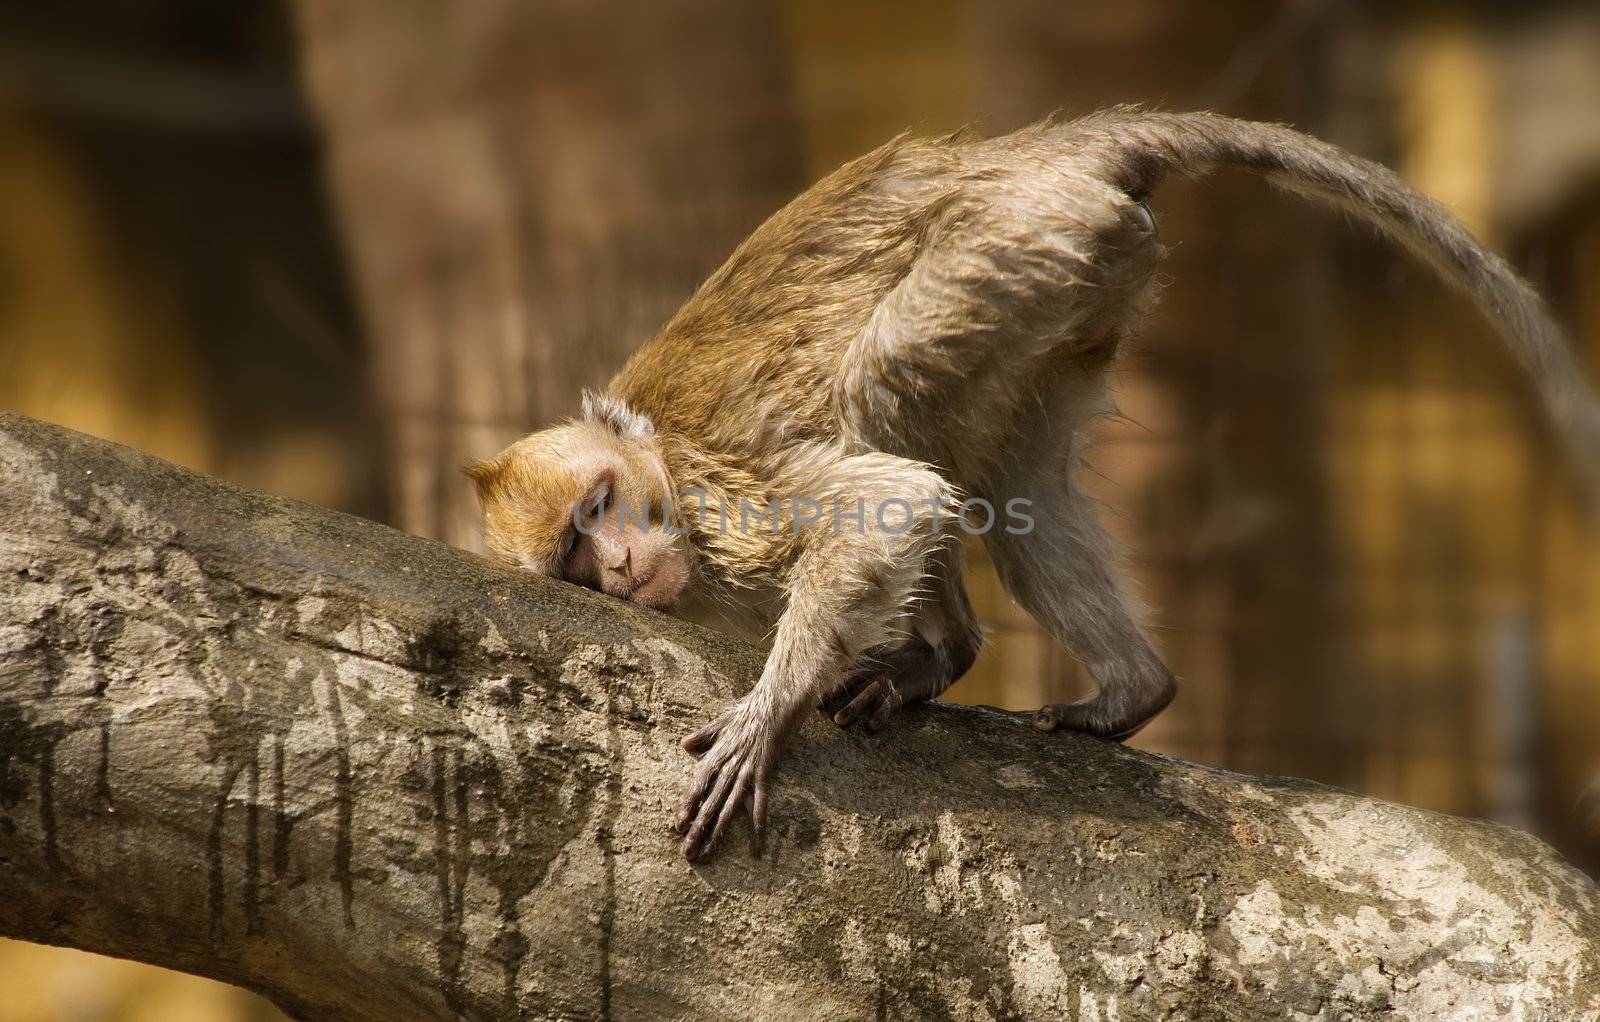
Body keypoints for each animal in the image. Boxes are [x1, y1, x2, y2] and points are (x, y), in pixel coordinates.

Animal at [467, 107, 1600, 857]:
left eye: (599, 508)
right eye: (574, 555)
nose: (619, 566)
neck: (665, 467)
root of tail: (1028, 152)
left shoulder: (723, 502)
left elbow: (887, 505)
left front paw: (770, 712)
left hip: (1009, 242)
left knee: (888, 391)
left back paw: (949, 652)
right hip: (1072, 280)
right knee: (1015, 481)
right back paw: (1107, 682)